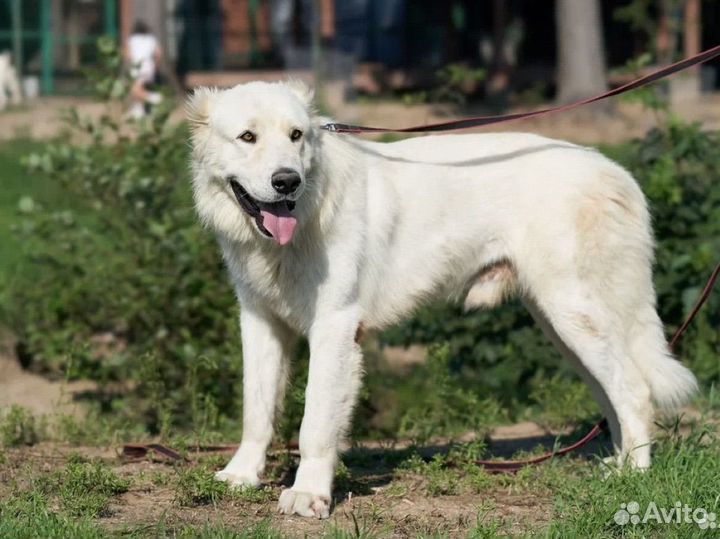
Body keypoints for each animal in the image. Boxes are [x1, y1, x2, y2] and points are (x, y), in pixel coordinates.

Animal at [187, 80, 696, 520]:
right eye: (247, 137)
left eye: (296, 136)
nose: (287, 181)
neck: (311, 208)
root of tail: (613, 171)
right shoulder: (260, 323)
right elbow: (256, 411)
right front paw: (241, 476)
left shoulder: (334, 328)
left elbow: (314, 423)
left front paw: (309, 494)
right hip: (563, 325)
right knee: (612, 394)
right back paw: (618, 464)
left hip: (574, 313)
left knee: (634, 390)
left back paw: (634, 477)